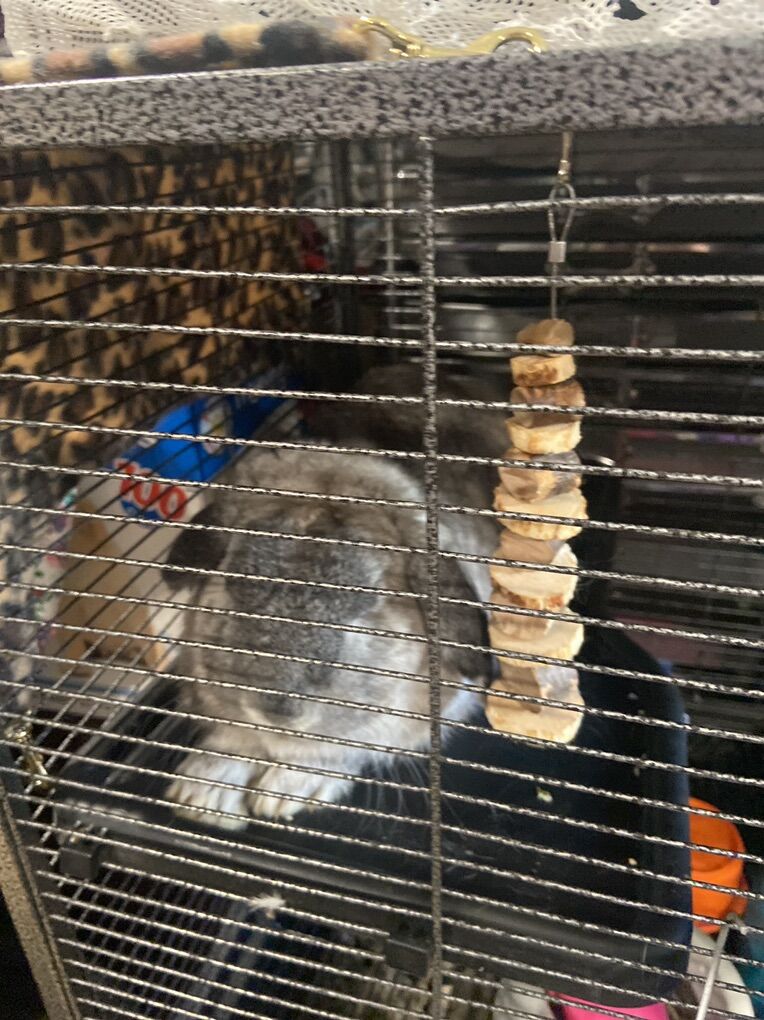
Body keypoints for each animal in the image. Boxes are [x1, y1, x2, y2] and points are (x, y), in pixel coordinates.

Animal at [164, 363, 504, 827]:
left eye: (369, 603)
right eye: (233, 586)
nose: (278, 709)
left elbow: (340, 750)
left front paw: (284, 791)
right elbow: (236, 739)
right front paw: (203, 791)